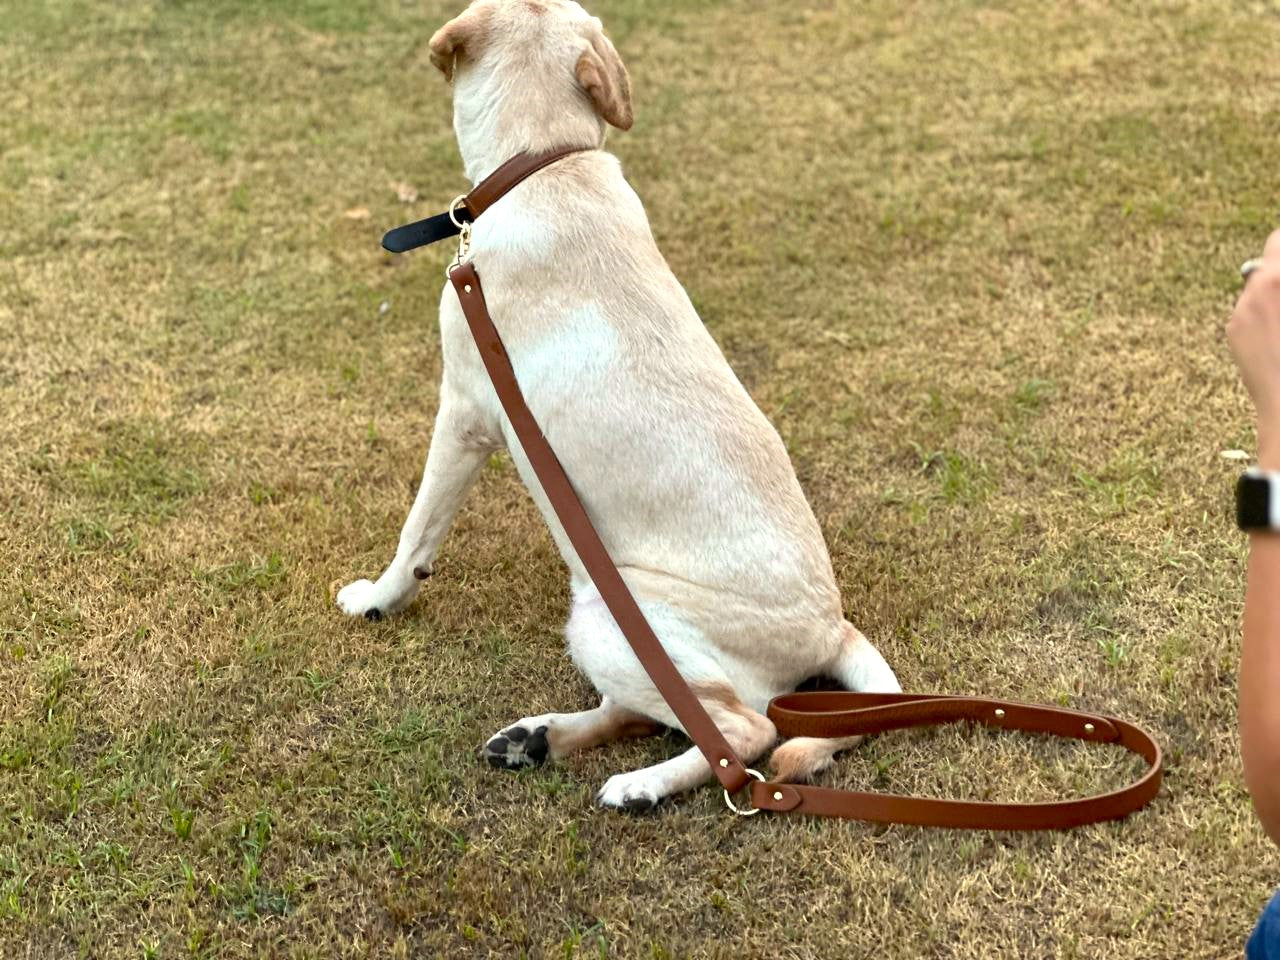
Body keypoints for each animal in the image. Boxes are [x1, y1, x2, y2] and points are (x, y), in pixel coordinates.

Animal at [340, 0, 901, 814]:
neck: (547, 162)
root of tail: (833, 629)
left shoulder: (467, 411)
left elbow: (418, 532)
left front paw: (379, 600)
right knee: (657, 714)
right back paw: (536, 740)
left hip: (613, 617)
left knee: (745, 734)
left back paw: (640, 787)